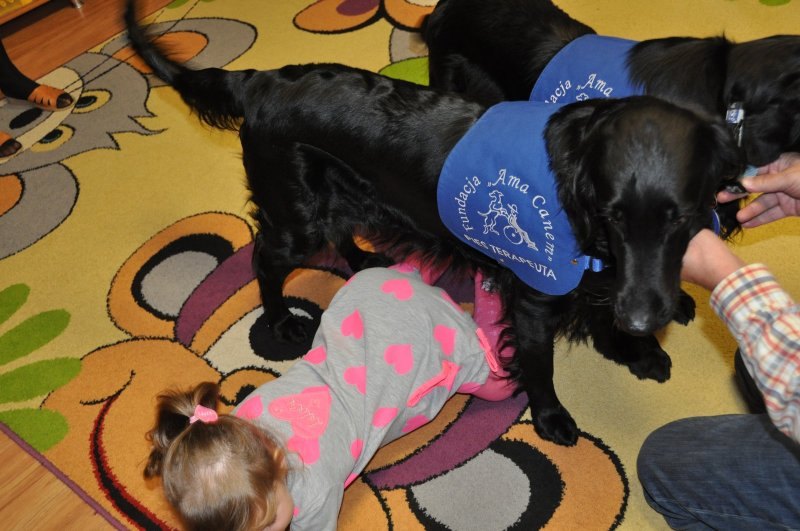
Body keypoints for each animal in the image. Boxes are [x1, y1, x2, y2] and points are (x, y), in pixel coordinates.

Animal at [125, 1, 744, 445]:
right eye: (614, 214)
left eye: (680, 218)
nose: (646, 317)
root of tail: (259, 82)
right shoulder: (535, 296)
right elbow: (540, 365)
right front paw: (552, 418)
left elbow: (606, 307)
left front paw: (636, 350)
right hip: (297, 215)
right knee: (264, 258)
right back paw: (281, 320)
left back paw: (364, 259)